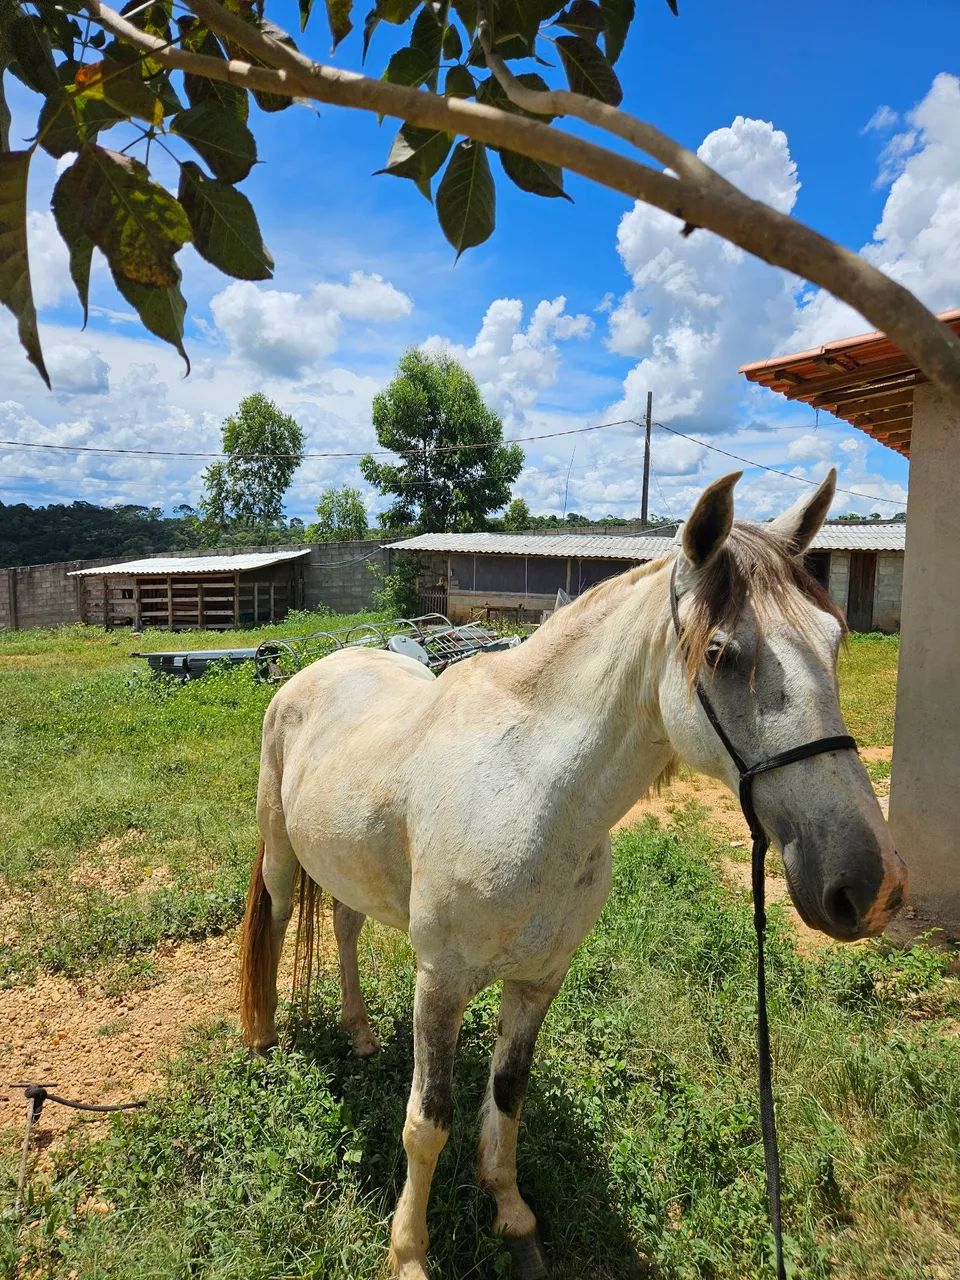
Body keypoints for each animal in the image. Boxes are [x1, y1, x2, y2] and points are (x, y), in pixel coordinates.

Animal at [239, 469, 907, 1280]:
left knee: (343, 924)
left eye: (833, 640)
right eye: (721, 653)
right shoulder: (441, 981)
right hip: (281, 856)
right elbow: (426, 1125)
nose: (870, 886)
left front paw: (512, 1216)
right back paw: (265, 1042)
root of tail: (315, 670)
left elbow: (508, 1095)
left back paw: (361, 1033)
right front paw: (409, 1253)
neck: (530, 789)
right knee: (276, 923)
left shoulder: (540, 980)